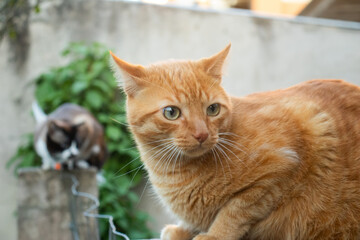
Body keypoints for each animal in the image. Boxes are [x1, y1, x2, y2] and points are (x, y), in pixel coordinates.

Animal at [109, 45, 360, 240]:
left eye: (212, 109)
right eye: (171, 112)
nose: (202, 134)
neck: (173, 173)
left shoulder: (280, 167)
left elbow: (236, 209)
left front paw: (214, 234)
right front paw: (184, 230)